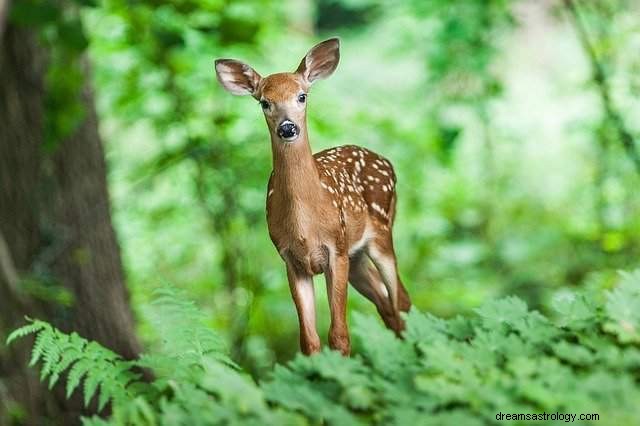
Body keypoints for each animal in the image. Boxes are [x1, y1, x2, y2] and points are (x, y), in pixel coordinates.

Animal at [215, 37, 412, 356]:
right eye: (264, 102)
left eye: (302, 96)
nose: (287, 127)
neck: (305, 225)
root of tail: (386, 161)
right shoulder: (291, 260)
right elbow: (309, 340)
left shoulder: (336, 249)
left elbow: (339, 335)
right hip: (357, 257)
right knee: (387, 305)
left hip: (381, 233)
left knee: (401, 300)